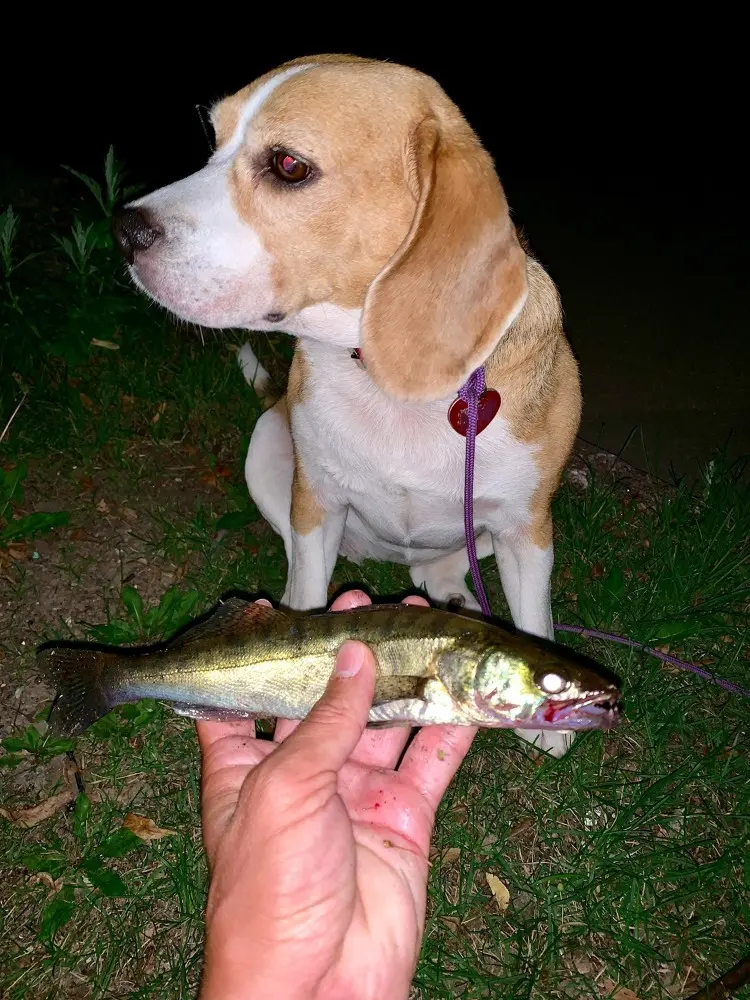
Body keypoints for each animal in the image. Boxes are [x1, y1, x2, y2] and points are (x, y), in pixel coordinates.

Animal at [119, 54, 588, 756]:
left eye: (288, 165)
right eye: (213, 139)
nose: (124, 231)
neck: (388, 381)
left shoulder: (526, 526)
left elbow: (533, 614)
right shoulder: (315, 500)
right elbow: (311, 591)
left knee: (438, 570)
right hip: (269, 452)